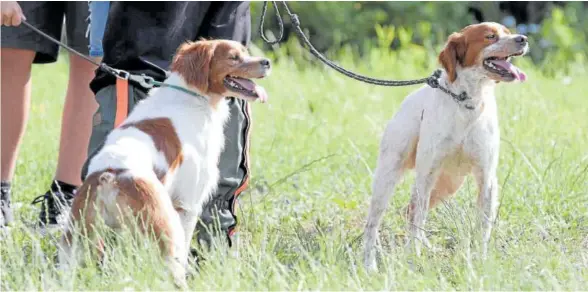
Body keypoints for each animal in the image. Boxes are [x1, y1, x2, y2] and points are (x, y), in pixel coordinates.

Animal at [58, 38, 270, 282]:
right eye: (233, 57)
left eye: (245, 52)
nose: (267, 62)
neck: (193, 95)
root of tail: (109, 177)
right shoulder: (188, 204)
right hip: (165, 229)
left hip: (76, 242)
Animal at [362, 22, 528, 272]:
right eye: (490, 36)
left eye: (508, 32)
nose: (523, 39)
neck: (467, 102)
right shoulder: (427, 174)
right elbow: (418, 222)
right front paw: (412, 260)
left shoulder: (486, 177)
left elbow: (483, 227)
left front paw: (481, 261)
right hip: (388, 178)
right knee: (375, 222)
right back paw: (369, 263)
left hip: (447, 184)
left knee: (410, 211)